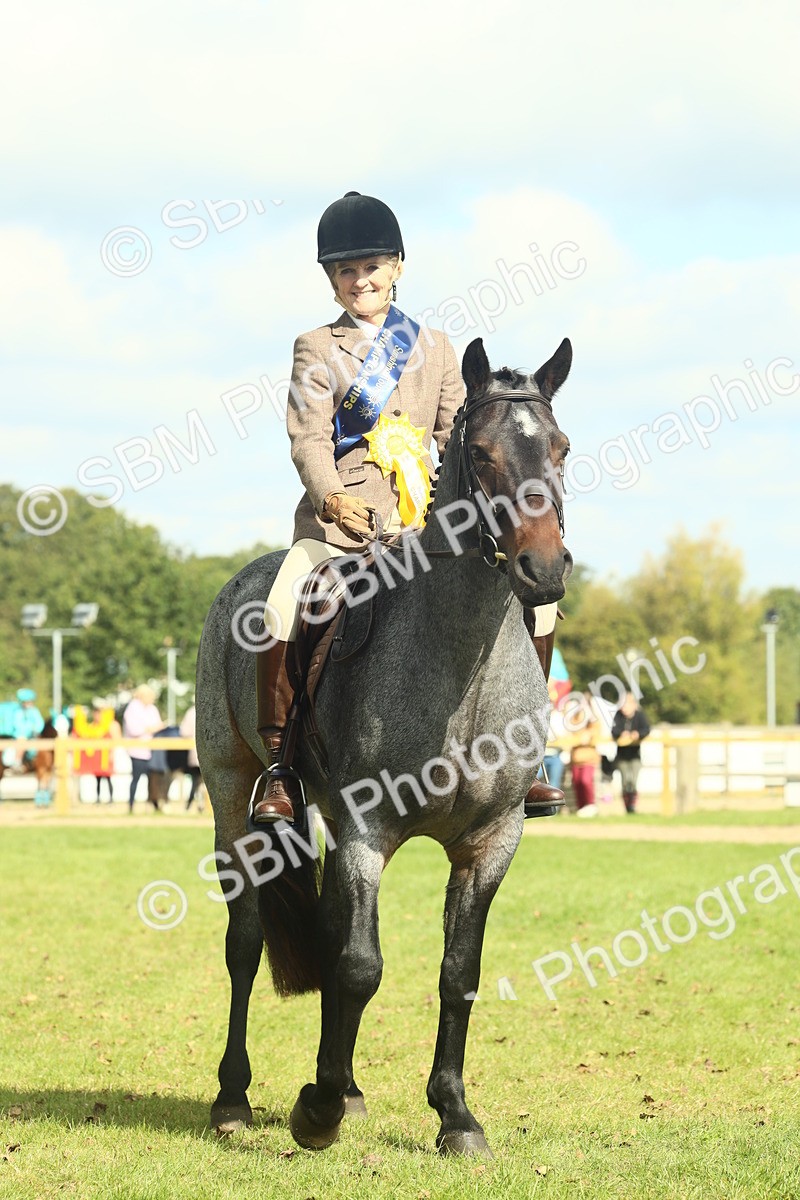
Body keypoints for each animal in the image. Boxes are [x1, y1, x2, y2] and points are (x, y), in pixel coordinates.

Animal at [195, 335, 573, 1157]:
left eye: (560, 447)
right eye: (484, 454)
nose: (544, 569)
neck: (462, 669)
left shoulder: (491, 843)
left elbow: (456, 972)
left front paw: (454, 1116)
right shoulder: (368, 831)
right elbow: (361, 967)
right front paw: (316, 1111)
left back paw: (345, 1086)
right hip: (232, 795)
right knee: (245, 943)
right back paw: (234, 1096)